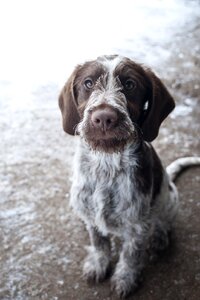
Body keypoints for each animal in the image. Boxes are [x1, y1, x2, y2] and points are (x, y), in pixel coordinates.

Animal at [58, 55, 200, 298]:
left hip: (170, 200)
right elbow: (99, 244)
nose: (103, 117)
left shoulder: (136, 225)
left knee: (163, 222)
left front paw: (125, 279)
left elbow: (130, 256)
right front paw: (98, 264)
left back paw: (160, 238)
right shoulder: (91, 216)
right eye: (88, 83)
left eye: (130, 84)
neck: (105, 164)